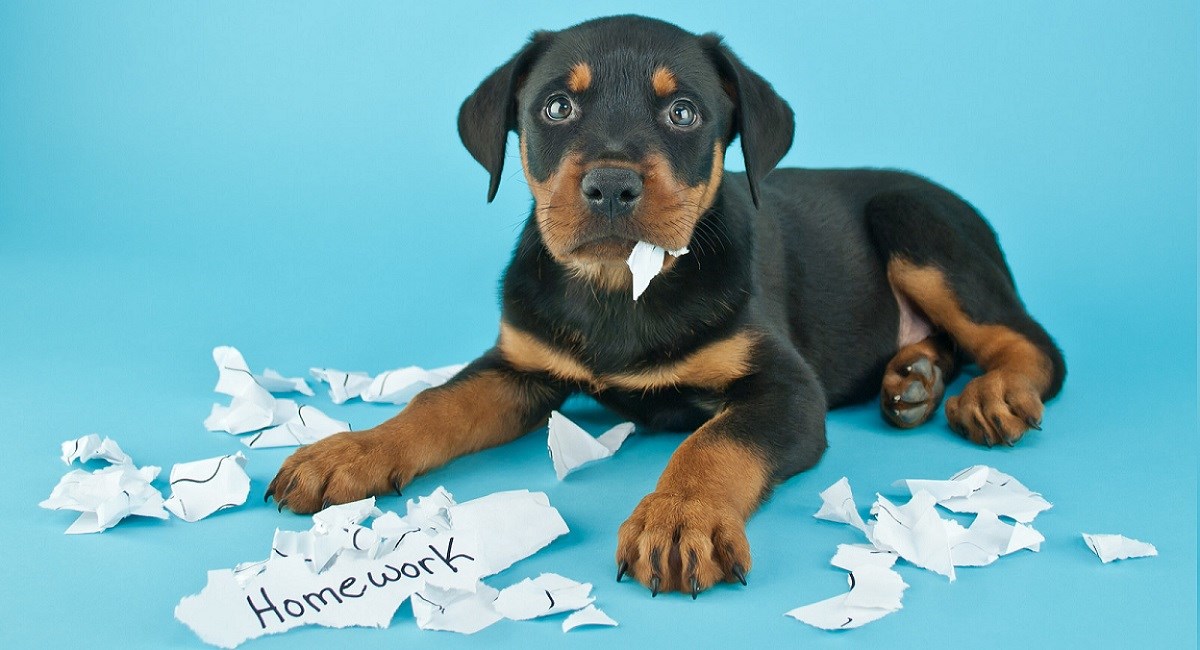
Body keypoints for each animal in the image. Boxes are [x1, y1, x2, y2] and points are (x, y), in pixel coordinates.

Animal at [267, 14, 1065, 602]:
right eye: (556, 107)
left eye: (683, 113)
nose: (612, 186)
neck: (620, 289)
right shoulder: (519, 364)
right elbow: (437, 402)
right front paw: (352, 451)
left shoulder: (785, 389)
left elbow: (714, 443)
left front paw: (680, 520)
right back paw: (914, 378)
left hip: (915, 222)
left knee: (1034, 346)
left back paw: (992, 395)